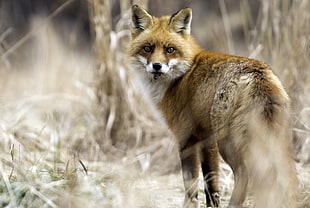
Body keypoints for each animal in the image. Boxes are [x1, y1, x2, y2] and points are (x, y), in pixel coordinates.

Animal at [129, 4, 298, 208]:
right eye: (147, 48)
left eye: (170, 49)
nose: (156, 66)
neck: (181, 76)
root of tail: (257, 75)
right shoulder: (206, 138)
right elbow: (211, 183)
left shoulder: (186, 137)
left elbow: (191, 183)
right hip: (276, 138)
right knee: (283, 171)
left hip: (229, 142)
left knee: (245, 174)